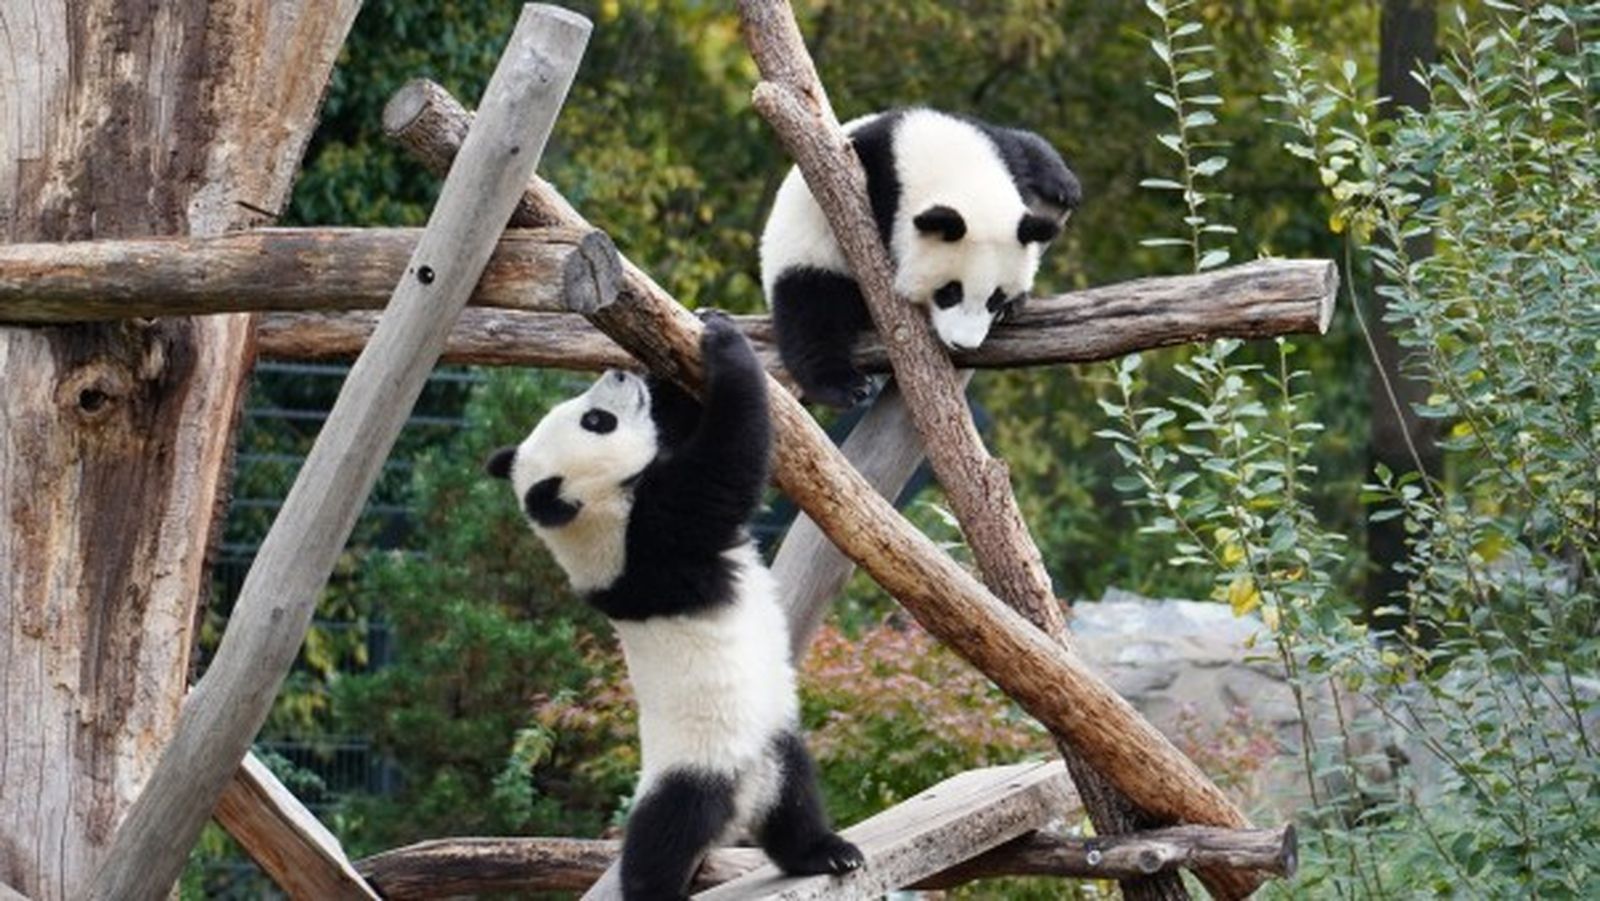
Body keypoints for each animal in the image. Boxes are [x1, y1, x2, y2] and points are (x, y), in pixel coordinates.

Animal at [485, 315, 863, 900]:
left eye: (584, 410)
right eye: (597, 421)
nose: (618, 373)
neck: (592, 513)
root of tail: (740, 802)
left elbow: (687, 428)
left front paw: (686, 343)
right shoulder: (652, 535)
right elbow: (729, 461)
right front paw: (725, 345)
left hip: (772, 742)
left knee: (795, 801)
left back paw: (826, 853)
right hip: (691, 768)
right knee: (662, 835)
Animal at [759, 107, 1082, 408]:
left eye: (995, 298)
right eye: (950, 291)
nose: (963, 344)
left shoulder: (991, 144)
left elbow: (1024, 147)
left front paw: (1063, 184)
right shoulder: (866, 188)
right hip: (805, 255)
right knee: (810, 314)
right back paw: (847, 386)